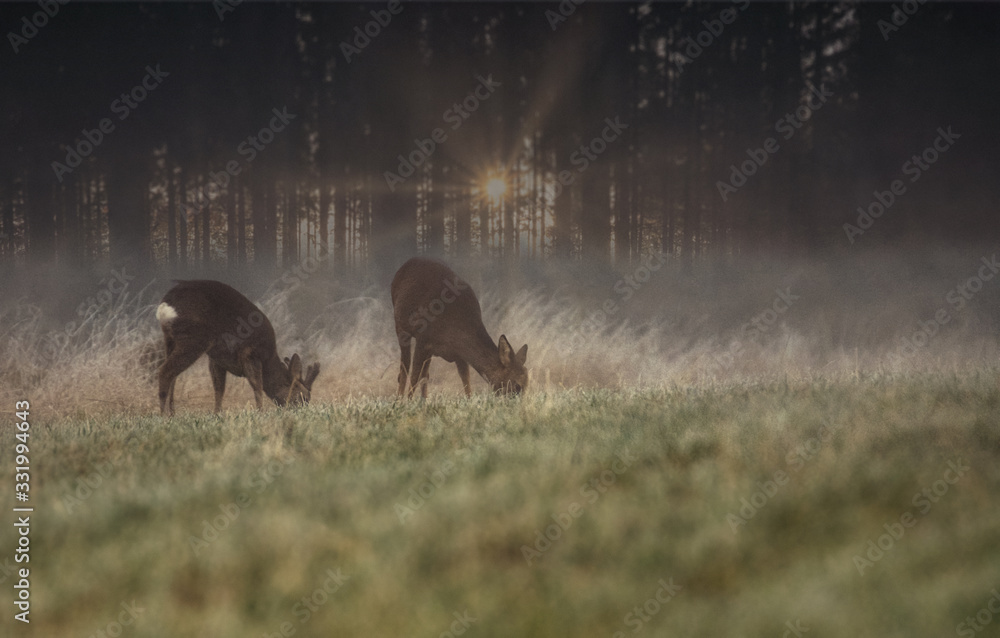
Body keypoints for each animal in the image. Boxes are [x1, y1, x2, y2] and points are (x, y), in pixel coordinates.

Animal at [155, 280, 320, 415]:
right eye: (303, 397)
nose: (302, 410)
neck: (269, 358)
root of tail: (165, 305)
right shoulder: (250, 353)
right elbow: (257, 386)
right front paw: (260, 412)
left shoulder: (217, 358)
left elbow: (219, 389)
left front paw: (217, 413)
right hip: (193, 339)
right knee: (165, 371)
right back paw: (163, 415)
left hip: (170, 340)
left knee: (173, 375)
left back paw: (172, 413)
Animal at [391, 257, 528, 398]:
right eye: (517, 385)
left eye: (526, 386)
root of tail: (408, 262)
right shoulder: (423, 338)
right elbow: (414, 376)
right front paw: (408, 401)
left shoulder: (458, 354)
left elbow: (466, 381)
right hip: (401, 327)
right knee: (405, 368)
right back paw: (399, 398)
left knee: (424, 374)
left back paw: (423, 399)